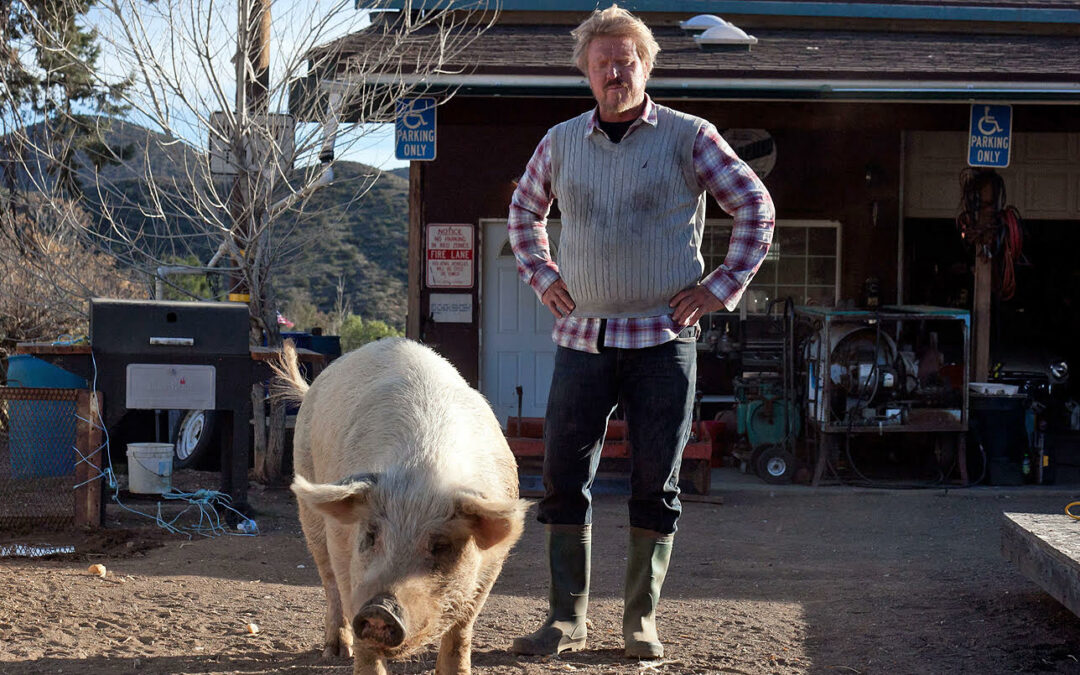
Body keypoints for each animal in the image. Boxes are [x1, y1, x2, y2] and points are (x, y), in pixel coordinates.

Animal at [274, 338, 528, 675]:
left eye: (441, 545)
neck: (422, 470)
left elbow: (462, 629)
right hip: (310, 505)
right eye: (370, 535)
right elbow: (355, 614)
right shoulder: (344, 547)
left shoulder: (493, 562)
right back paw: (335, 652)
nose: (380, 609)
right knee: (328, 581)